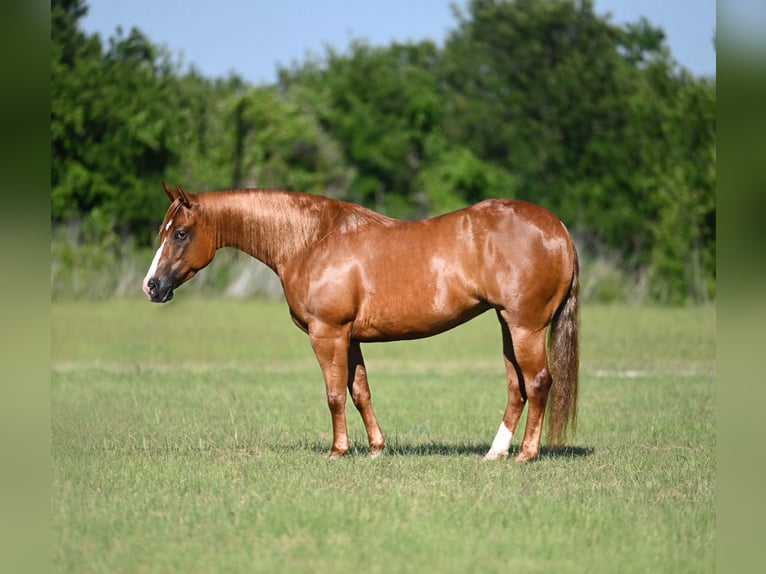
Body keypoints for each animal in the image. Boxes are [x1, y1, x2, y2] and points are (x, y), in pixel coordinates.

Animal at [143, 182, 580, 462]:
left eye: (180, 233)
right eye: (163, 230)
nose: (152, 287)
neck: (312, 240)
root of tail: (557, 228)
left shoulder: (327, 334)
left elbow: (335, 394)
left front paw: (338, 451)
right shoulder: (349, 338)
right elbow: (360, 392)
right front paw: (376, 448)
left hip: (525, 327)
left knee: (538, 382)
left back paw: (526, 455)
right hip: (508, 326)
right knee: (516, 387)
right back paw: (494, 453)